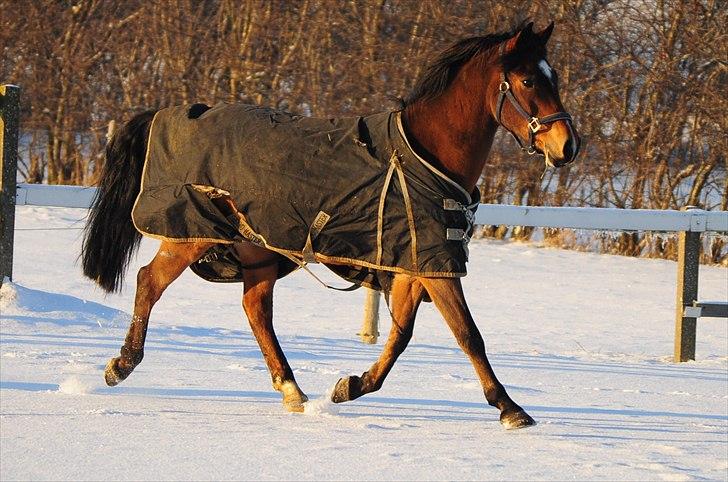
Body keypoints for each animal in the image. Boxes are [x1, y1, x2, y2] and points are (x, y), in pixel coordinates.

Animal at [79, 21, 580, 430]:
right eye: (529, 79)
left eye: (553, 76)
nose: (568, 146)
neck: (425, 157)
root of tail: (169, 113)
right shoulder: (436, 264)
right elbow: (468, 335)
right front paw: (510, 408)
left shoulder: (413, 263)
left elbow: (400, 336)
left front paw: (350, 386)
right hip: (194, 235)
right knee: (149, 282)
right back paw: (121, 365)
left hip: (258, 249)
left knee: (255, 308)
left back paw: (292, 390)